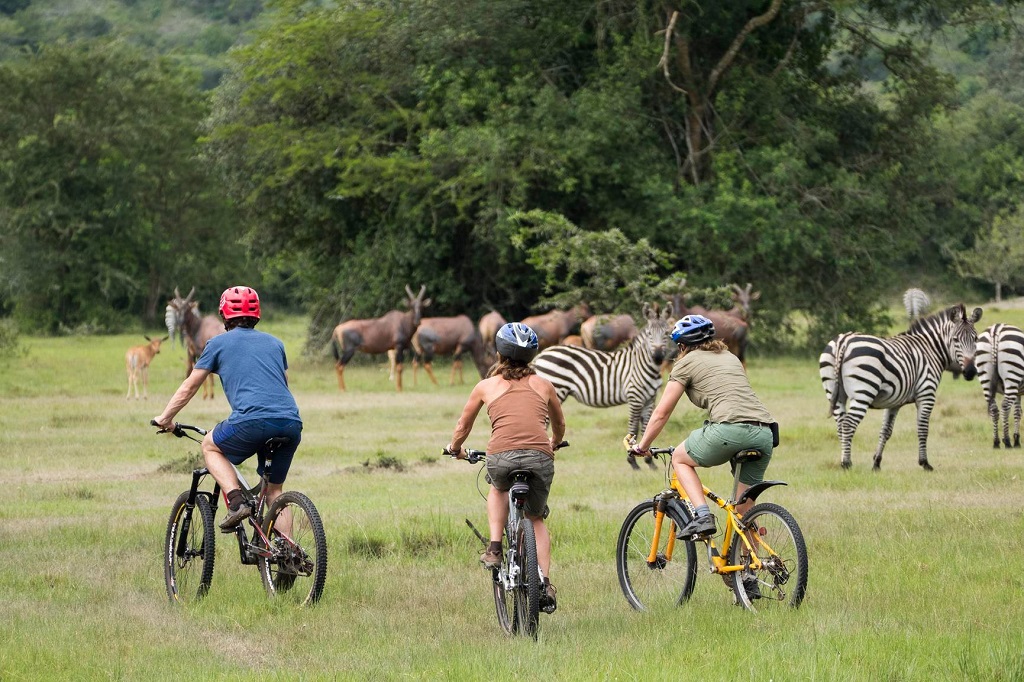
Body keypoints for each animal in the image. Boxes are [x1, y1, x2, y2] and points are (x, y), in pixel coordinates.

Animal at [532, 301, 675, 464]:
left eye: (666, 333)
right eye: (650, 334)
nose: (657, 357)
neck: (641, 364)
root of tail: (542, 354)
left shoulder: (650, 398)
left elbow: (646, 428)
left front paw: (649, 461)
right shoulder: (635, 396)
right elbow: (633, 429)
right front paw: (632, 460)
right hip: (555, 389)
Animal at [815, 303, 983, 471]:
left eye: (975, 339)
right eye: (955, 339)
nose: (970, 371)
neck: (930, 350)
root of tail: (843, 341)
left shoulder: (894, 402)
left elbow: (886, 431)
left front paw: (876, 463)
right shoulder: (926, 394)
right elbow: (923, 429)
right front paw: (925, 463)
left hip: (835, 393)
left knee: (840, 424)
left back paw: (843, 461)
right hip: (863, 392)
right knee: (848, 425)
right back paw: (847, 463)